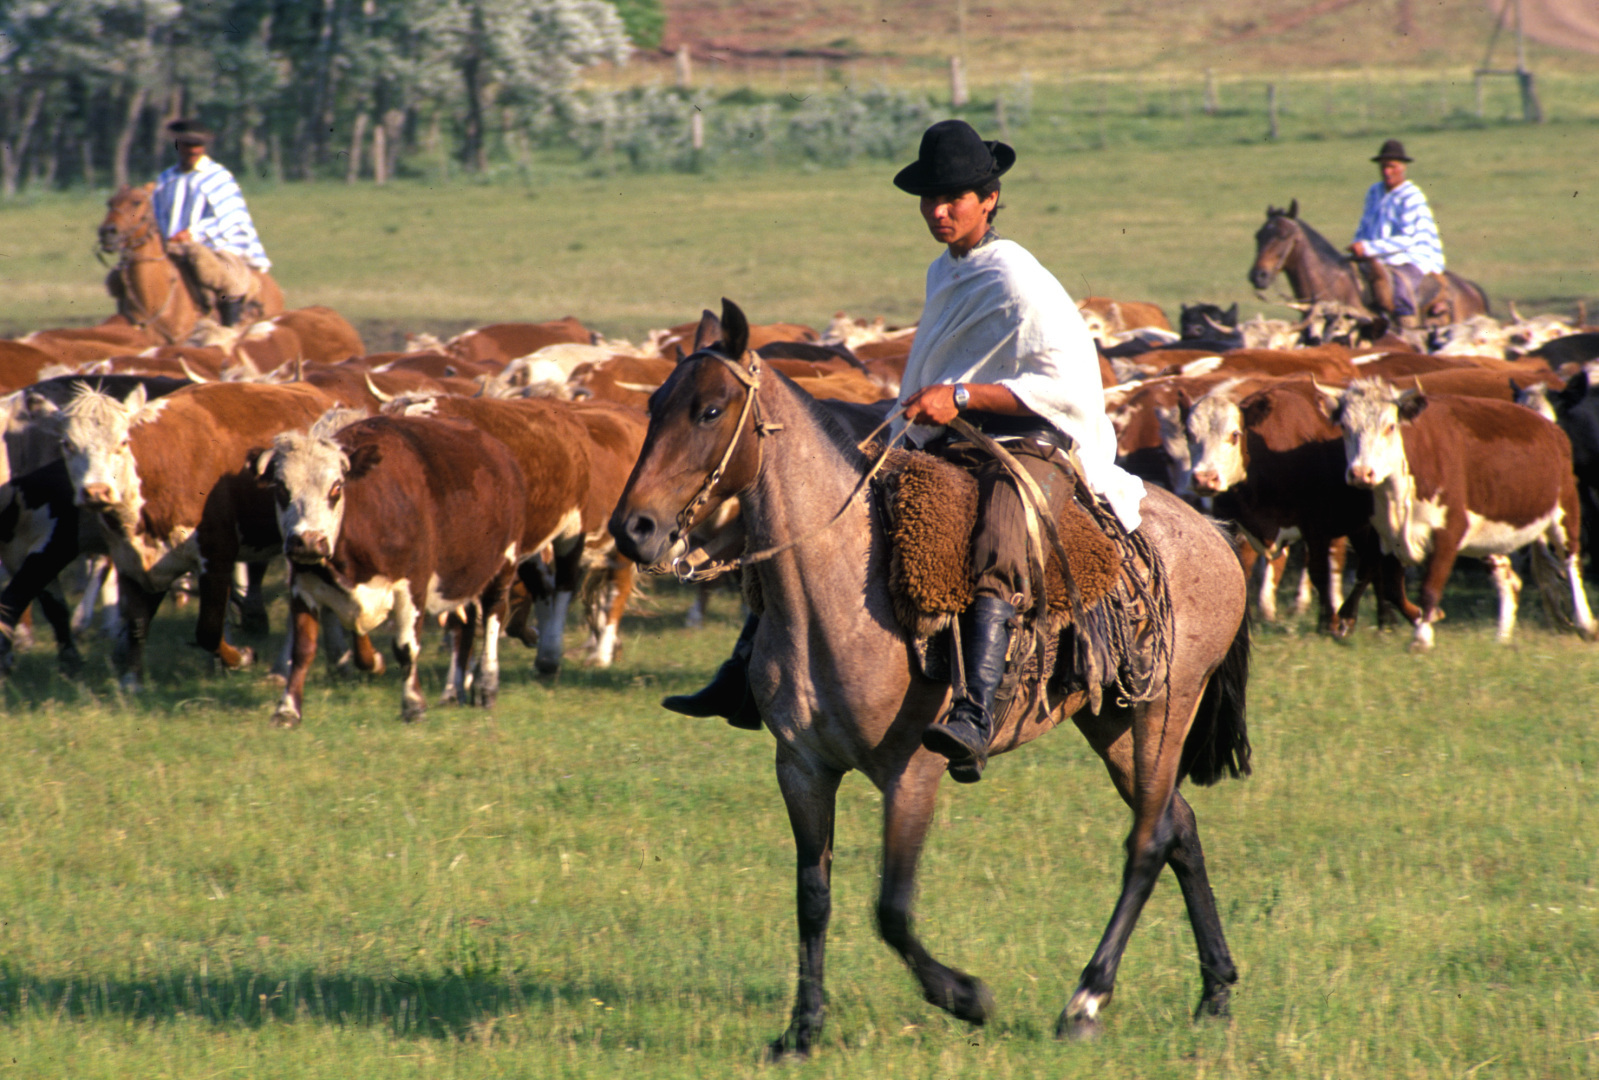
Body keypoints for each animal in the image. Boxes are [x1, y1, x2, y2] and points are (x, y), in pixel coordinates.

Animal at [259, 412, 527, 726]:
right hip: (462, 577)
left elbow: (406, 647)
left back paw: (486, 686)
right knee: (463, 626)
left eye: (336, 487)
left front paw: (413, 705)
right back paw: (454, 693)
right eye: (281, 488)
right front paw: (287, 709)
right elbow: (305, 649)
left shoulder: (412, 585)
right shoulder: (304, 586)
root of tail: (501, 452)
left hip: (503, 566)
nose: (308, 541)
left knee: (494, 617)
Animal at [604, 299, 1253, 1062]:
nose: (633, 529)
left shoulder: (911, 774)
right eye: (654, 404)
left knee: (1147, 842)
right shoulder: (801, 768)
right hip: (1113, 720)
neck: (838, 592)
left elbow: (890, 908)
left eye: (709, 410)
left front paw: (965, 996)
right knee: (1179, 827)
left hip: (1162, 713)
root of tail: (1215, 537)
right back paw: (1215, 992)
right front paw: (801, 1029)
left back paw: (1086, 1000)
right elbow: (812, 896)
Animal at [1317, 380, 1592, 649]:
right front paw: (1345, 620)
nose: (1360, 473)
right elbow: (1373, 576)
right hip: (1489, 536)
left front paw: (1421, 637)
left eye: (1391, 426)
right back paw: (1500, 639)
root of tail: (1553, 429)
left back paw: (1585, 624)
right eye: (1344, 425)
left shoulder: (1449, 532)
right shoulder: (1382, 531)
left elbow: (1429, 586)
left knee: (1572, 563)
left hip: (1564, 511)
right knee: (1509, 581)